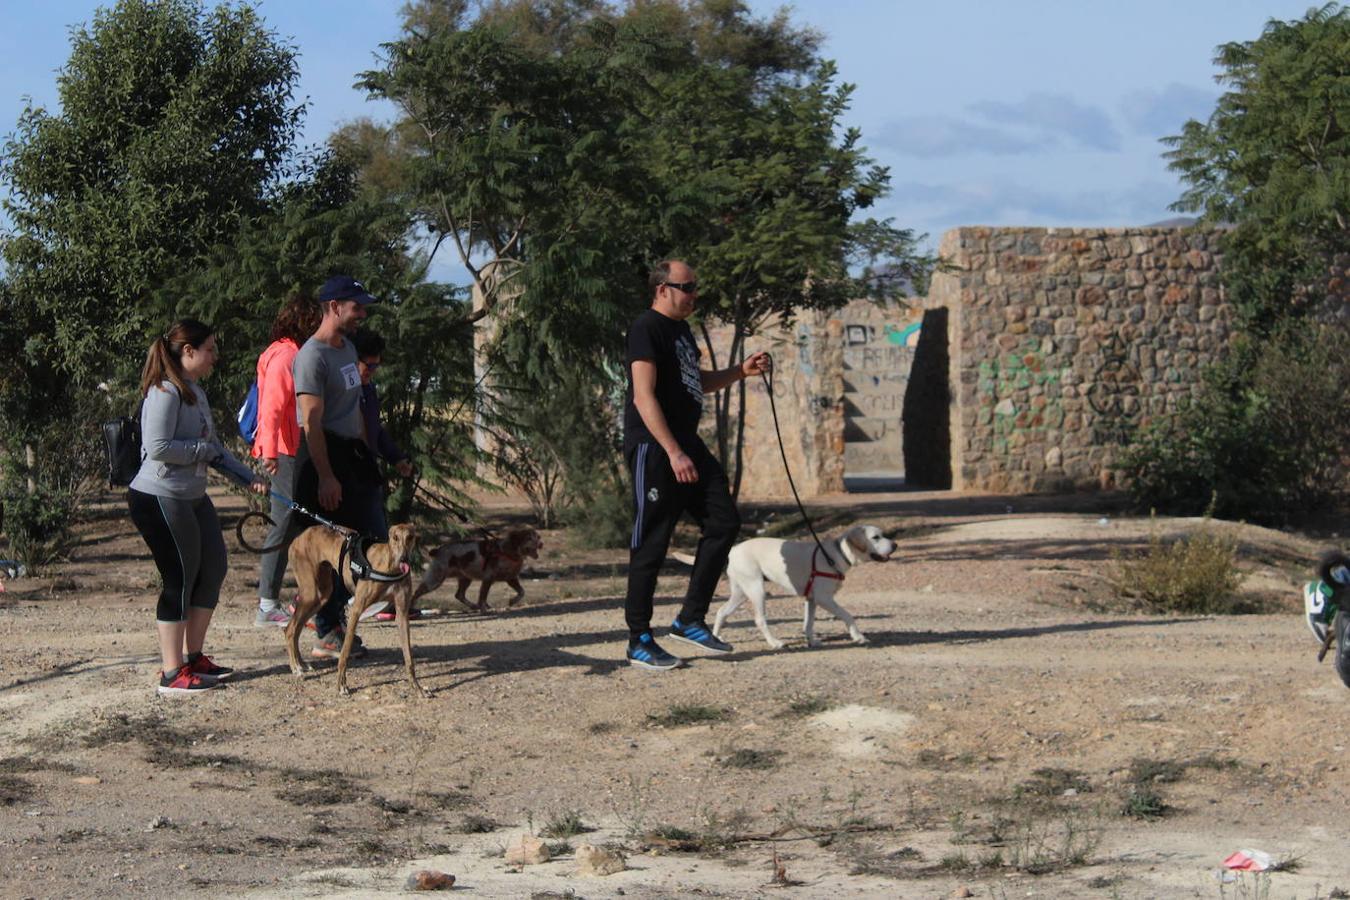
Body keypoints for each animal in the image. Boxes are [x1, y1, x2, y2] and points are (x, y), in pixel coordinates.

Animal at [287, 520, 423, 696]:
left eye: (410, 537)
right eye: (395, 537)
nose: (403, 559)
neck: (389, 566)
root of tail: (299, 537)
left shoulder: (402, 614)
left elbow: (409, 657)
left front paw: (417, 687)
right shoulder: (356, 610)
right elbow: (345, 653)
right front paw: (341, 684)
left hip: (321, 595)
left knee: (295, 630)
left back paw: (301, 663)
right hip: (310, 592)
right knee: (290, 630)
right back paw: (295, 667)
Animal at [410, 528, 542, 612]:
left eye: (537, 537)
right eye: (529, 538)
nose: (541, 544)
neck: (506, 551)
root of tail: (437, 550)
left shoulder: (511, 578)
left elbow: (522, 592)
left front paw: (512, 601)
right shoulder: (488, 578)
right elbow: (482, 597)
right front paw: (484, 609)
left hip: (465, 578)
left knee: (459, 595)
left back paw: (473, 606)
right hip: (435, 579)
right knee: (416, 592)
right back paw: (410, 608)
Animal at [712, 523, 891, 650]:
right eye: (876, 537)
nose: (895, 545)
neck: (836, 554)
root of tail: (734, 549)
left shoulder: (811, 599)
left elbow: (808, 623)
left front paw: (811, 641)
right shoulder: (824, 599)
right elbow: (847, 615)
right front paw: (858, 636)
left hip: (741, 592)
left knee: (721, 611)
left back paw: (716, 638)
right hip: (757, 590)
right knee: (759, 620)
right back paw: (775, 642)